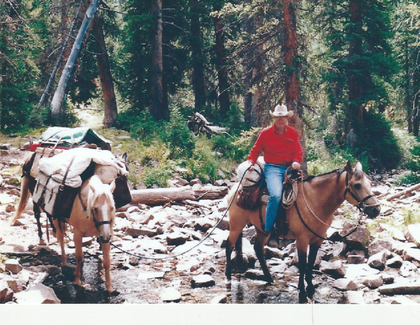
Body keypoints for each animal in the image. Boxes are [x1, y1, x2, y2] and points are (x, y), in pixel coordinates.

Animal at [225, 161, 382, 302]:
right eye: (357, 185)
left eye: (369, 183)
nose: (376, 210)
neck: (315, 200)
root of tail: (235, 189)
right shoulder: (302, 239)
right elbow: (302, 264)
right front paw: (302, 291)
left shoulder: (318, 239)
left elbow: (311, 262)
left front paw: (310, 287)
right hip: (237, 225)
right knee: (229, 246)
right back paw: (228, 276)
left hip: (261, 229)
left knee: (257, 248)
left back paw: (269, 279)